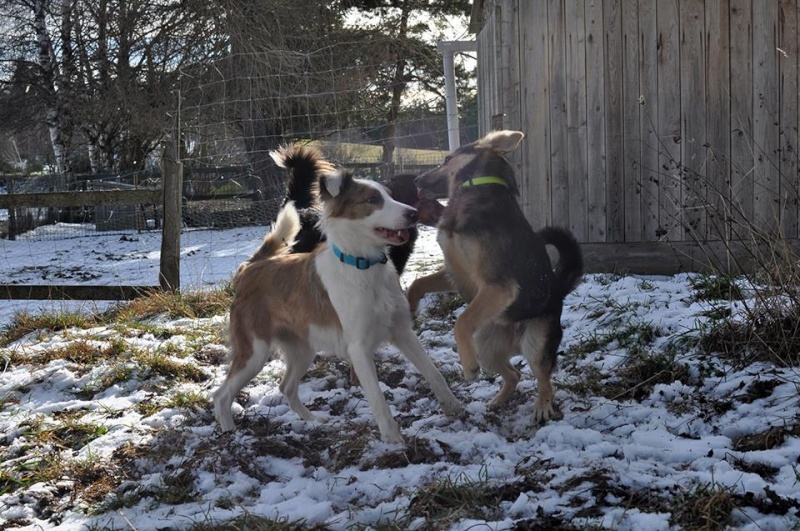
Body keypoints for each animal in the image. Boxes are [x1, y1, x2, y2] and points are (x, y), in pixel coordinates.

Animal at [212, 144, 462, 444]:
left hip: (302, 349)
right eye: (372, 200)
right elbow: (378, 399)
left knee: (286, 387)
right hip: (255, 352)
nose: (412, 213)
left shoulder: (403, 332)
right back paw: (230, 434)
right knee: (221, 395)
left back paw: (314, 422)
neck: (365, 268)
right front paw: (393, 441)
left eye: (391, 196)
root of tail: (253, 267)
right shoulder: (359, 348)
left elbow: (434, 373)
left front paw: (454, 408)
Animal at [410, 130, 584, 424]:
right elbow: (416, 283)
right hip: (487, 346)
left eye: (447, 159)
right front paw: (410, 309)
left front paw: (468, 366)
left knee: (543, 377)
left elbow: (462, 320)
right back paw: (500, 399)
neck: (474, 186)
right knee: (514, 374)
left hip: (535, 343)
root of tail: (558, 292)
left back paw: (543, 406)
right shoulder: (456, 273)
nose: (416, 180)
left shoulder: (498, 286)